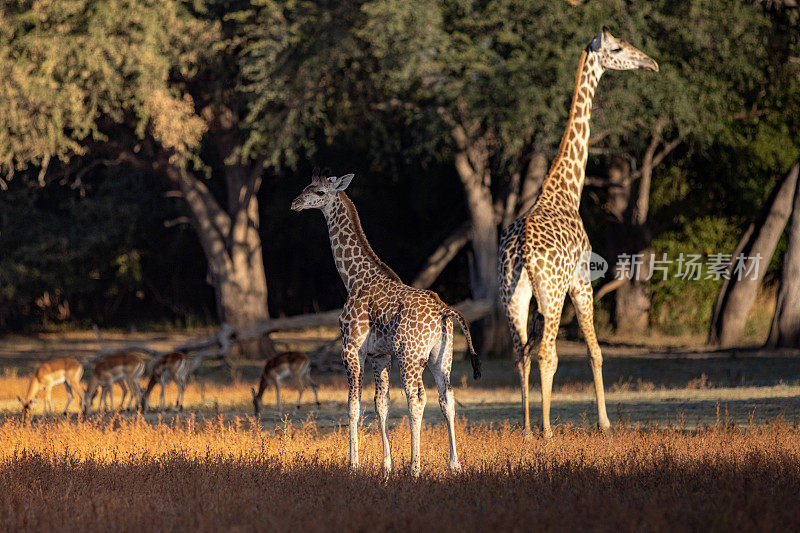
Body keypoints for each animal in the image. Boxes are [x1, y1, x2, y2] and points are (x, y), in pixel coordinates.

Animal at [294, 168, 482, 476]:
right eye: (304, 187)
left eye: (319, 192)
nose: (295, 203)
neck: (352, 279)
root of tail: (444, 311)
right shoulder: (379, 355)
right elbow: (381, 405)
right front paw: (386, 466)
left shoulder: (351, 349)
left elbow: (354, 405)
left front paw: (354, 465)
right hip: (441, 358)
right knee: (447, 399)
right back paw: (454, 465)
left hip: (411, 355)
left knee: (416, 401)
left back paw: (415, 468)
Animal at [496, 27, 660, 438]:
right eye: (618, 48)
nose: (651, 63)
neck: (567, 189)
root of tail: (522, 250)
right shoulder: (582, 280)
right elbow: (594, 350)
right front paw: (604, 424)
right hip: (553, 294)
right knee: (547, 353)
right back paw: (547, 431)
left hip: (513, 295)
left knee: (520, 352)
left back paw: (527, 429)